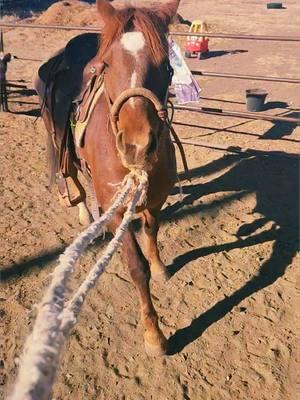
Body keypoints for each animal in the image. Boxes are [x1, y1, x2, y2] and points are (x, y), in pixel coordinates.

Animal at [36, 0, 179, 356]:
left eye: (168, 67)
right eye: (108, 66)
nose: (137, 145)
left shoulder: (156, 199)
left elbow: (152, 231)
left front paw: (160, 267)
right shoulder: (116, 212)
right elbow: (136, 267)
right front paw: (154, 335)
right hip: (61, 146)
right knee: (73, 180)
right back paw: (85, 216)